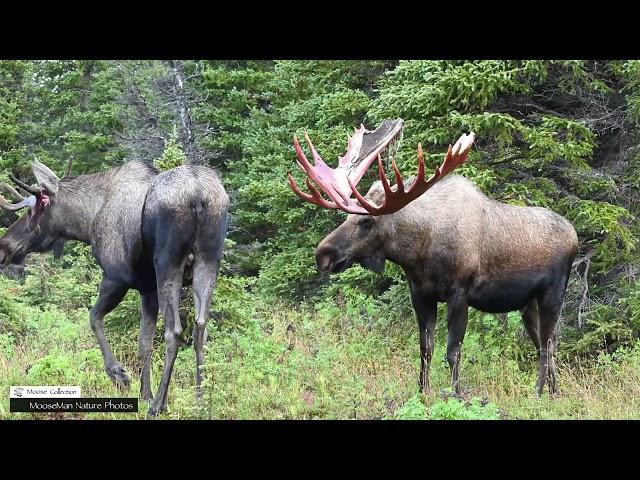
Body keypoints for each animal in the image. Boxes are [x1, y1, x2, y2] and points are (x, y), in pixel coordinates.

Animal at [0, 159, 230, 414]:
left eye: (32, 211)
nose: (4, 247)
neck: (87, 221)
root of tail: (199, 195)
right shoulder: (147, 289)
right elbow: (144, 343)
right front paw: (145, 393)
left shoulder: (116, 278)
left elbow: (94, 318)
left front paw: (120, 375)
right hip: (209, 260)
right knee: (201, 329)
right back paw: (201, 400)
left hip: (168, 263)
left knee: (175, 331)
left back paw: (159, 405)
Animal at [288, 118, 576, 396]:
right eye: (346, 217)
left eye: (366, 221)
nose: (323, 254)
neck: (418, 254)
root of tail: (574, 235)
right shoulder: (420, 293)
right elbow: (425, 349)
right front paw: (422, 391)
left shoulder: (460, 292)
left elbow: (453, 351)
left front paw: (456, 393)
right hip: (527, 303)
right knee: (546, 344)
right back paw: (554, 392)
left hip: (553, 293)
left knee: (547, 345)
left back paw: (539, 392)